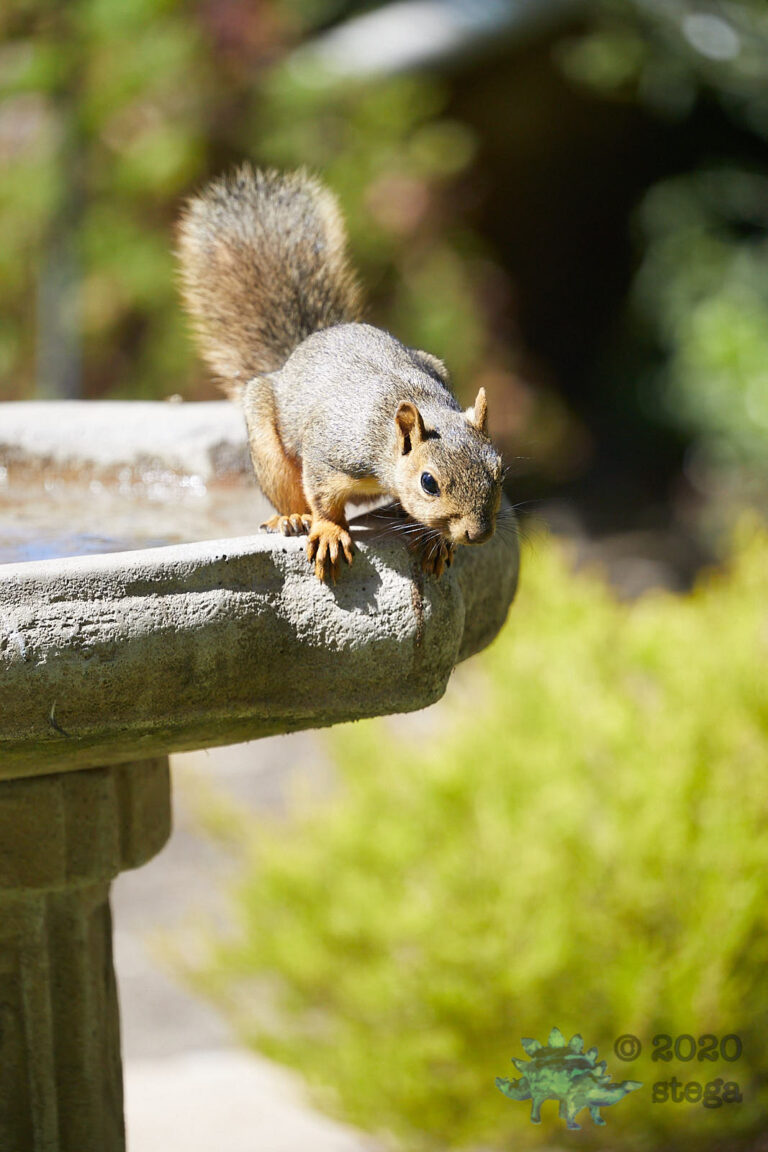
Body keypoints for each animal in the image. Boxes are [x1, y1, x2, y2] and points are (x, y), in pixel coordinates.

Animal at [177, 165, 503, 582]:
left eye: (500, 470)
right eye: (428, 483)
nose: (477, 534)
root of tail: (297, 353)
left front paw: (435, 541)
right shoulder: (330, 453)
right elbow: (322, 498)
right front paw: (330, 532)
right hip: (267, 447)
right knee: (289, 490)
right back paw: (293, 517)